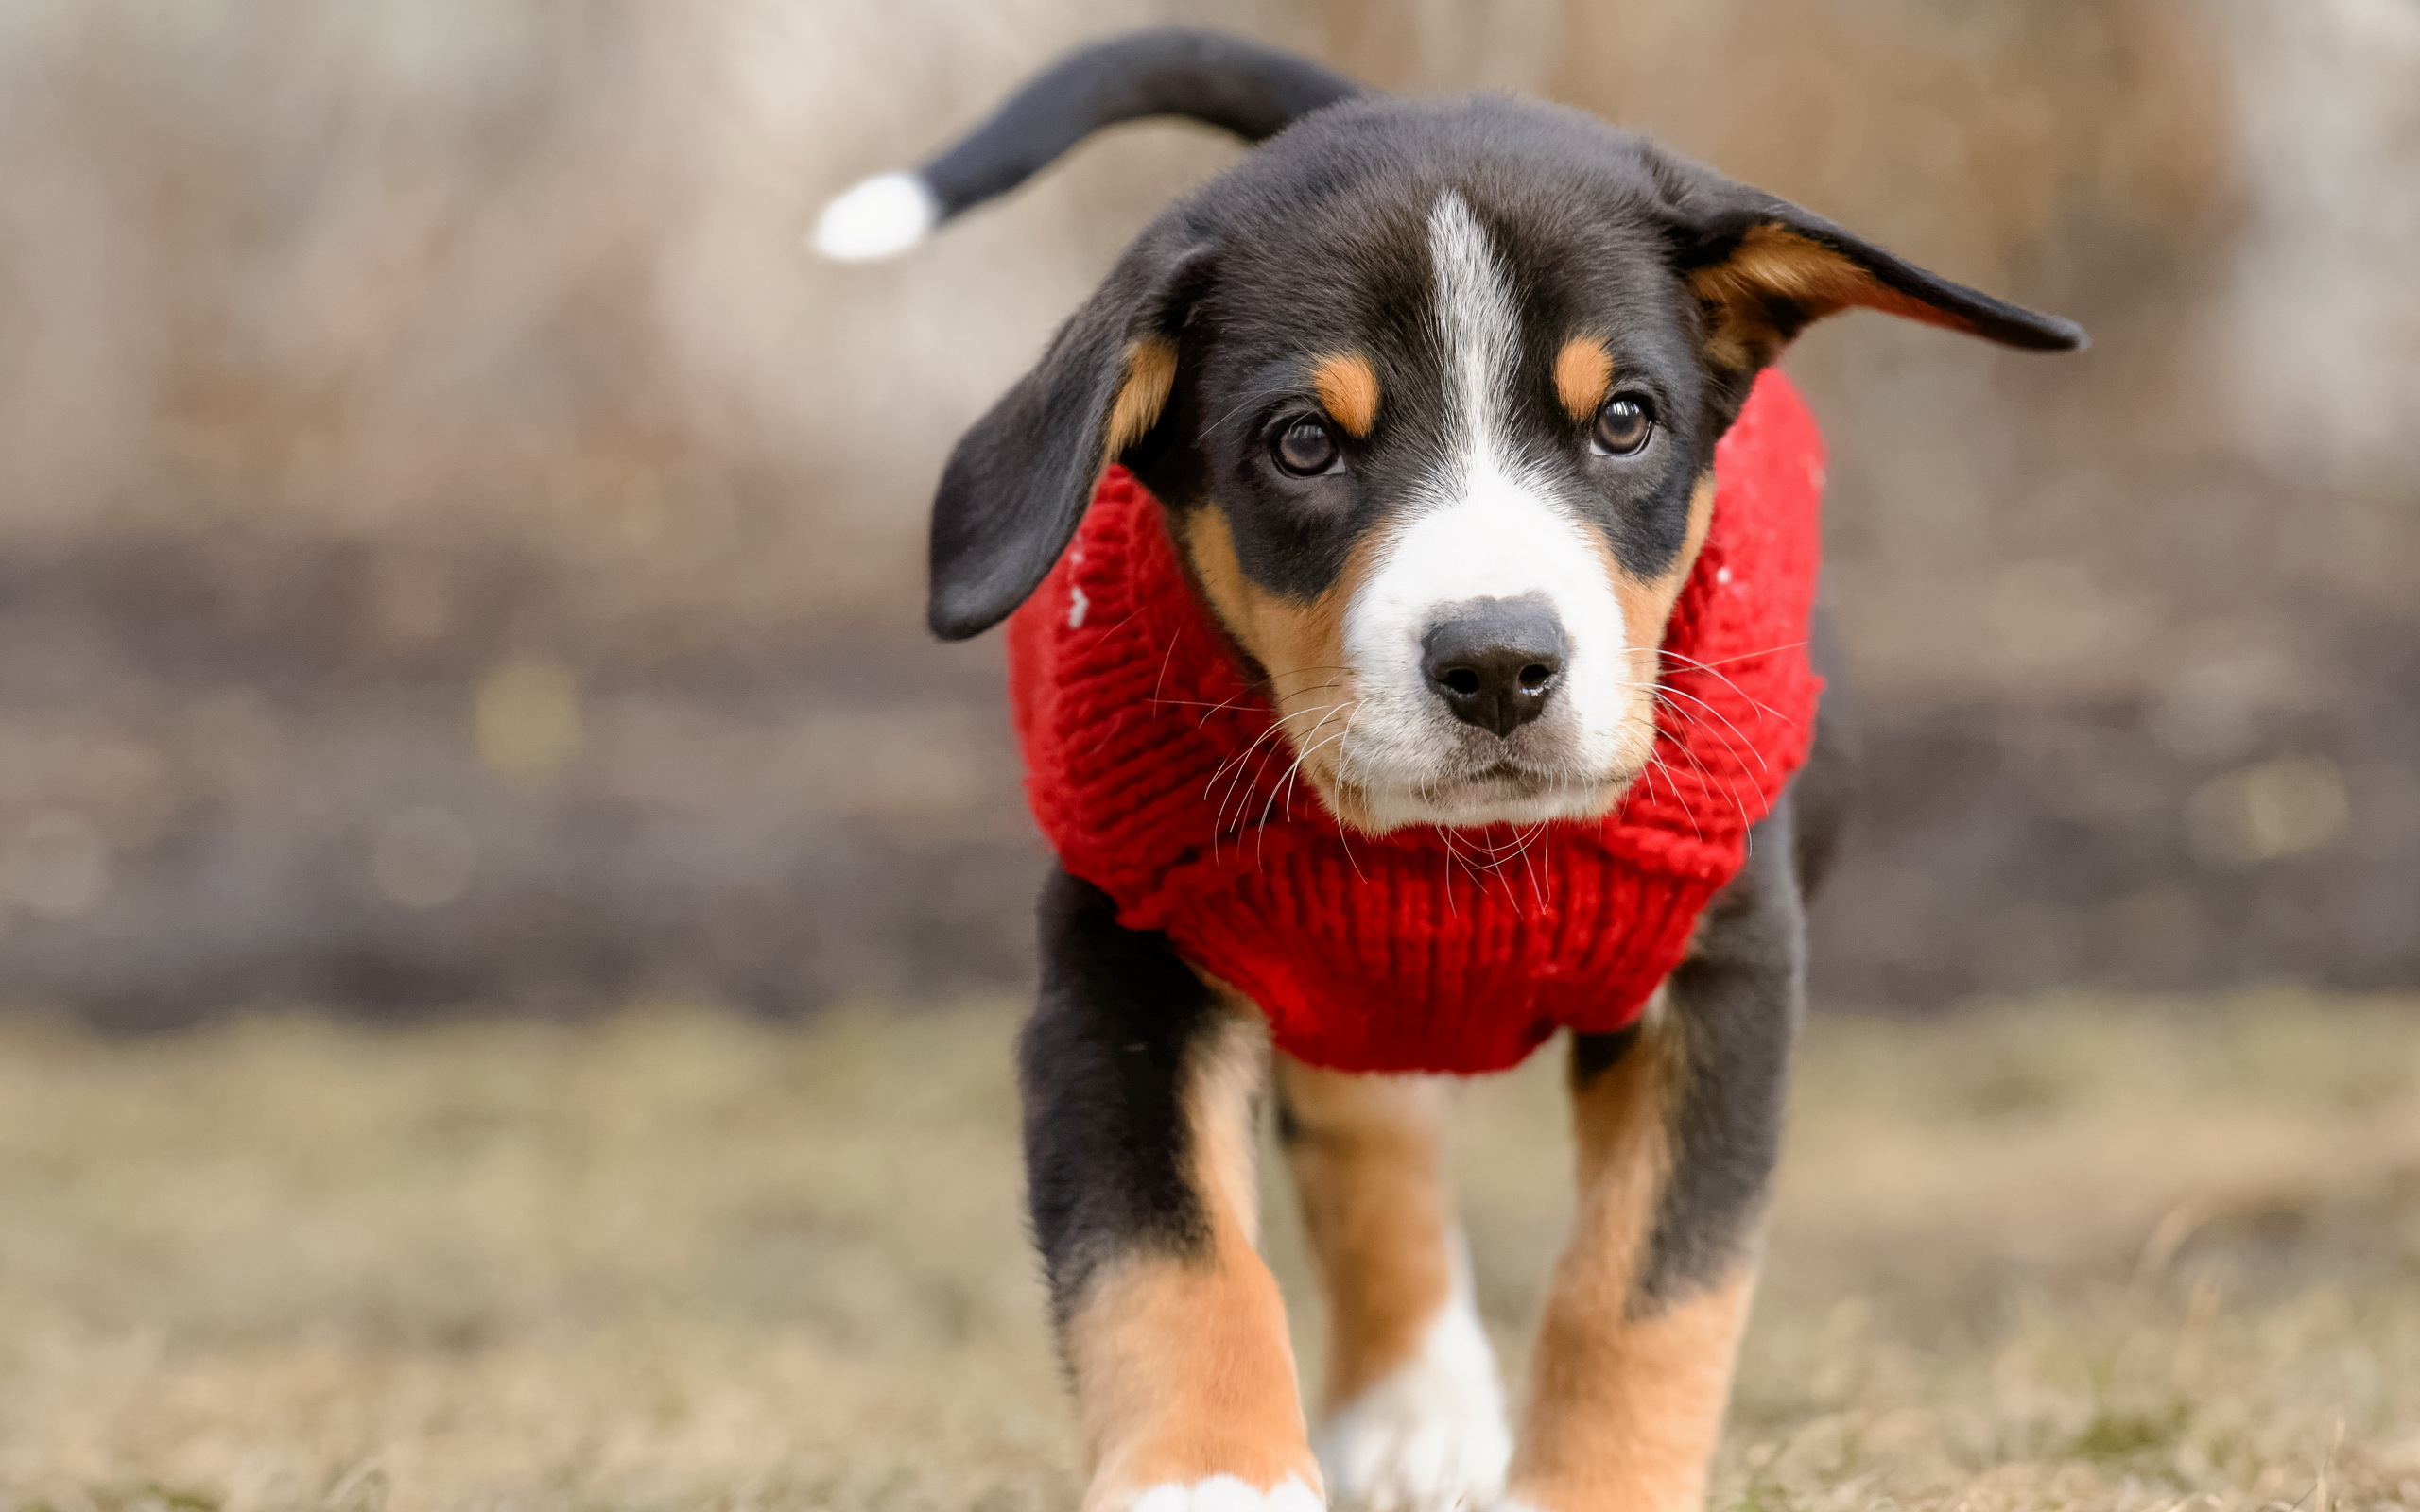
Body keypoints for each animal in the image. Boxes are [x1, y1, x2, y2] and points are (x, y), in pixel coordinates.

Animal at [818, 32, 2081, 1509]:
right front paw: (1206, 1477)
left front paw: (1592, 1491)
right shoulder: (1124, 965)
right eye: (1304, 443)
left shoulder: (1723, 976)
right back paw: (1414, 1403)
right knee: (1367, 1122)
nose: (1496, 663)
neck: (1456, 855)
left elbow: (1645, 1288)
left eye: (1625, 422)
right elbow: (1163, 1252)